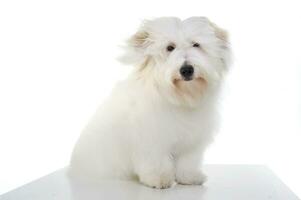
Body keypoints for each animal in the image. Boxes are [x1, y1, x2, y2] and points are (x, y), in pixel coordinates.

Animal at [69, 16, 230, 188]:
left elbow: (187, 161)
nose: (187, 70)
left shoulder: (190, 142)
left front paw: (189, 177)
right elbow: (156, 160)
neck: (179, 98)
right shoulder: (151, 138)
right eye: (170, 47)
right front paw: (159, 179)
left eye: (196, 44)